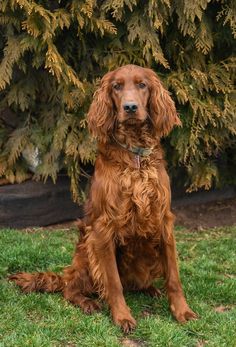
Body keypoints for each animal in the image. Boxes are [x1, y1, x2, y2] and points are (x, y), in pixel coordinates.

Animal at [9, 64, 197, 334]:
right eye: (116, 87)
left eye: (142, 85)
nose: (130, 107)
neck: (135, 158)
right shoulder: (104, 227)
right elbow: (113, 282)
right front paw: (122, 317)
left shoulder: (163, 220)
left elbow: (174, 276)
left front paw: (182, 311)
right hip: (88, 248)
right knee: (71, 288)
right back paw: (87, 302)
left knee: (134, 284)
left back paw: (151, 289)